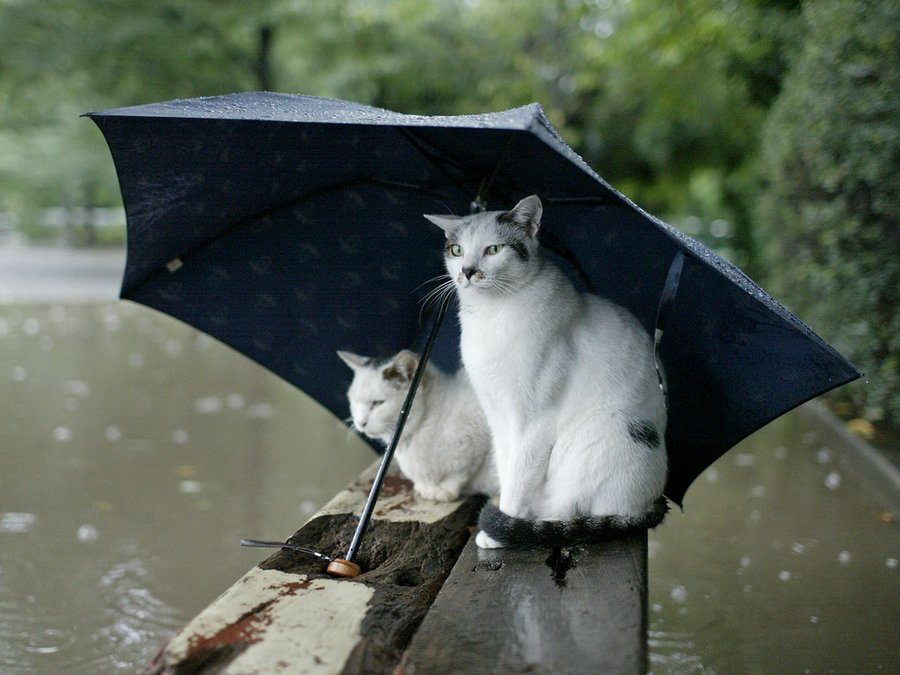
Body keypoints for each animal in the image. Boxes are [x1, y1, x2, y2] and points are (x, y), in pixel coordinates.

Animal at [338, 352, 496, 504]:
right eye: (354, 401)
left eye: (378, 403)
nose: (360, 423)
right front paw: (426, 488)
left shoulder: (478, 439)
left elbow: (460, 473)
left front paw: (444, 490)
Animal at [428, 195, 668, 548]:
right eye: (457, 250)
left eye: (493, 249)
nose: (468, 271)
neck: (491, 314)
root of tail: (651, 502)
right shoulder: (497, 416)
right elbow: (506, 467)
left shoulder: (535, 422)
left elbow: (520, 476)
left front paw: (501, 528)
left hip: (600, 434)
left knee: (575, 510)